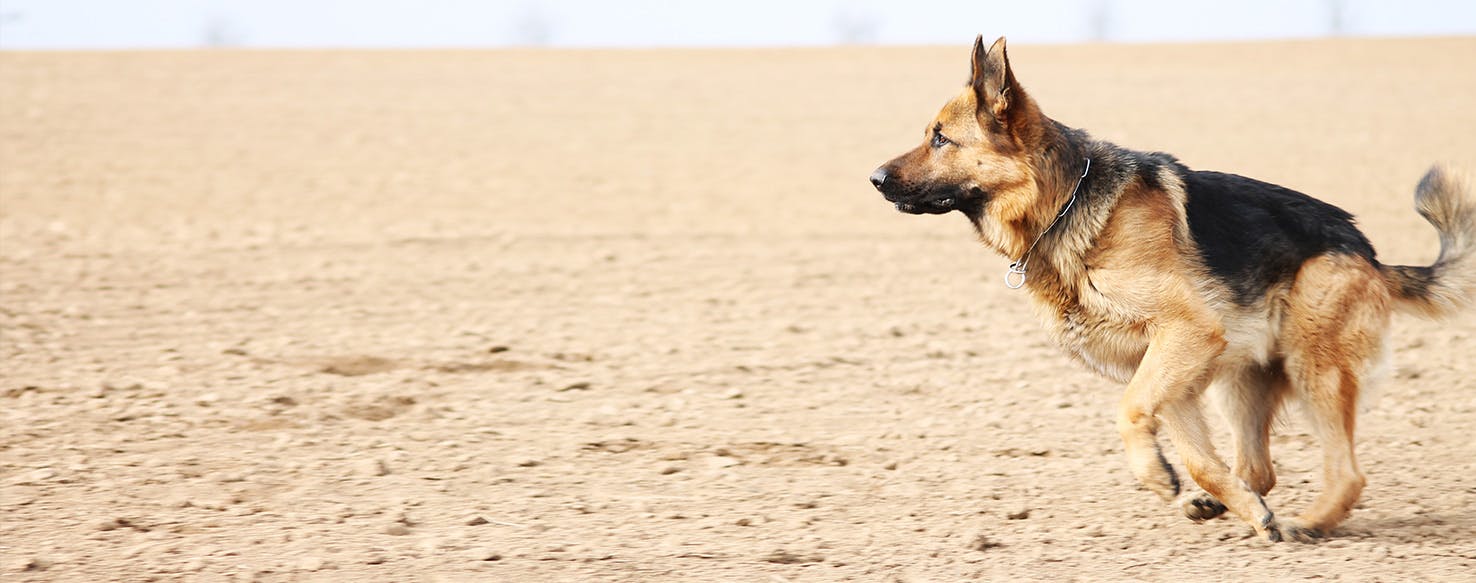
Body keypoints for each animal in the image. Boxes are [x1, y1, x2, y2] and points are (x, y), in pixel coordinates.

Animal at [867, 36, 1470, 543]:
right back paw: (1237, 503)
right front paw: (1227, 502)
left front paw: (1158, 476)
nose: (874, 179)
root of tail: (1369, 253)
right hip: (1239, 379)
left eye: (941, 138)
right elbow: (1200, 457)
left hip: (1312, 365)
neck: (1064, 205)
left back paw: (1311, 523)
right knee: (1258, 467)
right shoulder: (1167, 363)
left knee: (1346, 473)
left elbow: (1130, 412)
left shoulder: (1184, 337)